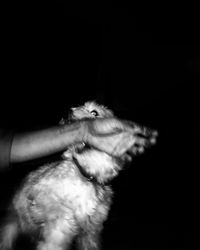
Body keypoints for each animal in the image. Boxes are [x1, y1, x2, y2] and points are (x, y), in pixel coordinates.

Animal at [0, 101, 158, 250]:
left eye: (94, 112)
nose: (68, 111)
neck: (86, 176)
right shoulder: (56, 223)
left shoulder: (91, 231)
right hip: (11, 224)